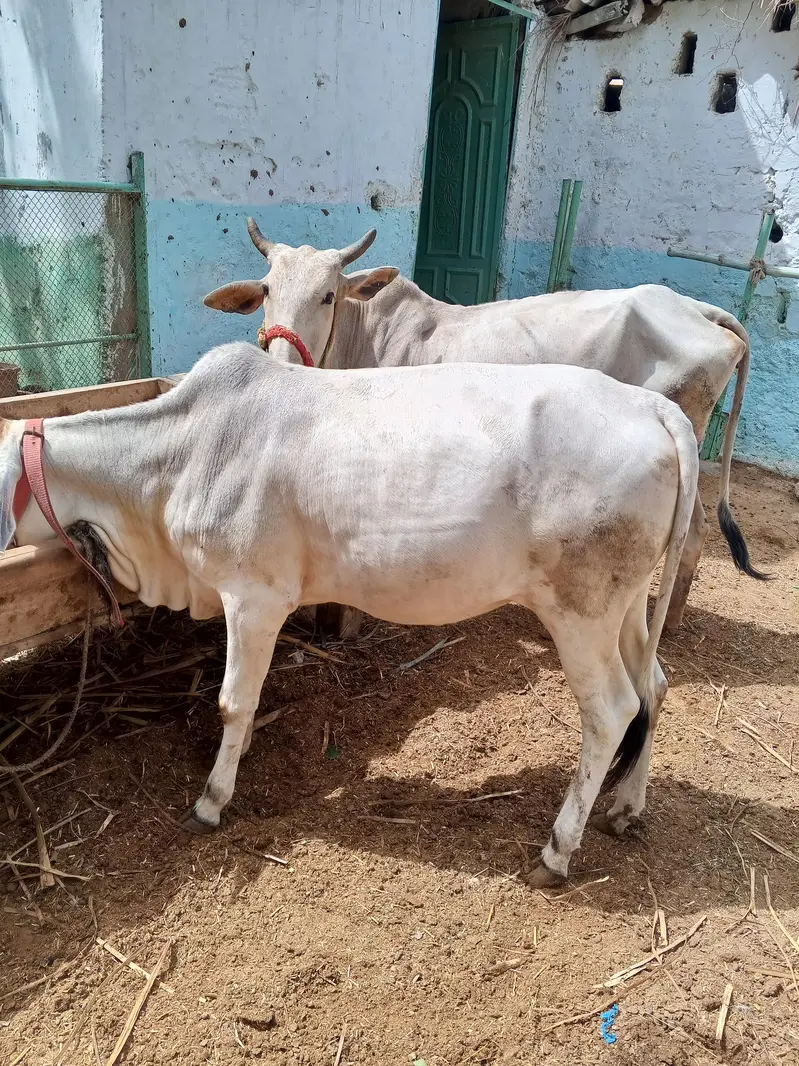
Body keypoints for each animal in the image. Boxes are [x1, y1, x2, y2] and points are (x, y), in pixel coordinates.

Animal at [1, 344, 698, 885]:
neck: (181, 454)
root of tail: (651, 406)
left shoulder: (254, 597)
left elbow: (233, 702)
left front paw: (212, 799)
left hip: (579, 612)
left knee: (613, 710)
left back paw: (557, 851)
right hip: (625, 607)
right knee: (655, 685)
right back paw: (626, 807)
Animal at [203, 221, 765, 636]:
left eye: (327, 296)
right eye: (267, 290)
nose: (278, 354)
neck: (368, 337)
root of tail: (697, 310)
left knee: (692, 536)